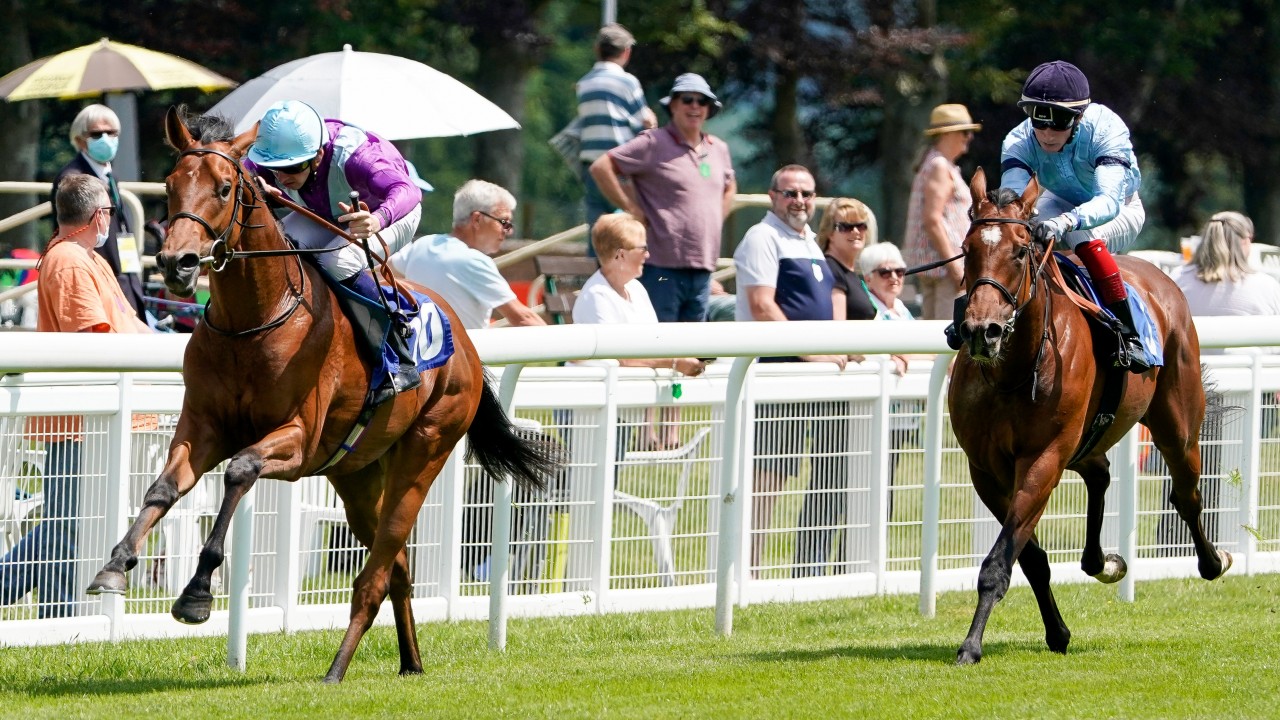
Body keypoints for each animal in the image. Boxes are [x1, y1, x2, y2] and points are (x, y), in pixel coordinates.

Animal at [85, 107, 559, 683]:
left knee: (377, 572)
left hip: (425, 449)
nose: (179, 263)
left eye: (224, 188)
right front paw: (114, 566)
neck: (254, 321)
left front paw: (196, 594)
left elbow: (240, 470)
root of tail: (466, 343)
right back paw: (410, 662)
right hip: (356, 473)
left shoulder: (297, 442)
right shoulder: (202, 427)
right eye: (171, 184)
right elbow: (161, 488)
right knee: (396, 567)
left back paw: (337, 668)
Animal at [947, 168, 1231, 665]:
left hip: (1177, 426)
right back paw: (1101, 562)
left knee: (1186, 494)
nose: (982, 331)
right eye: (968, 248)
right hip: (1087, 438)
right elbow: (1029, 557)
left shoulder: (1042, 458)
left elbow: (1000, 561)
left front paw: (971, 645)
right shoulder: (985, 470)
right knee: (1099, 472)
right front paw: (1057, 632)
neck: (1013, 370)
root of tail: (1162, 279)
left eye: (1020, 250)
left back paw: (1213, 561)